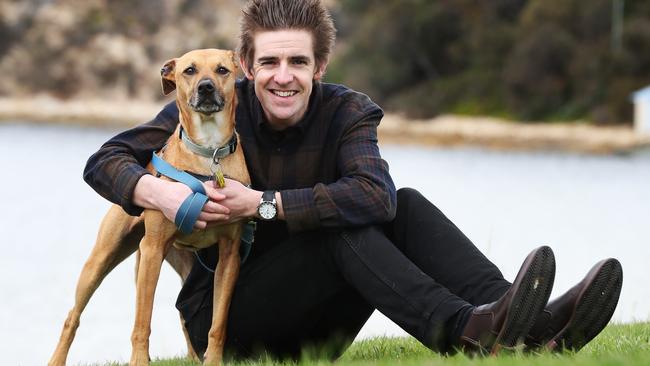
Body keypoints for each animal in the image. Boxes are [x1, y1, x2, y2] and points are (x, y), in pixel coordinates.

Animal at [48, 49, 249, 366]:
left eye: (222, 70)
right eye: (189, 70)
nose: (206, 87)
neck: (209, 151)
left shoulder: (229, 256)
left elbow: (218, 322)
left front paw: (213, 360)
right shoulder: (153, 250)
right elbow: (142, 321)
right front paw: (140, 361)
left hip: (181, 264)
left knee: (183, 313)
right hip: (103, 259)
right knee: (73, 316)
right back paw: (56, 359)